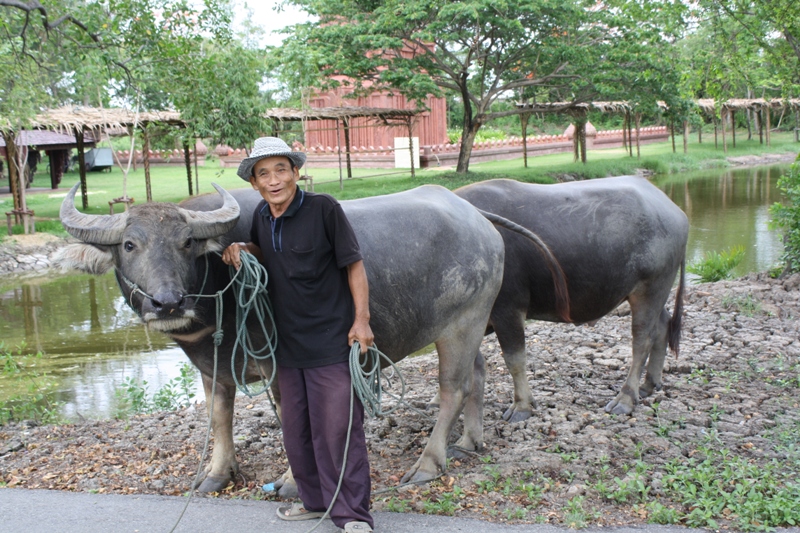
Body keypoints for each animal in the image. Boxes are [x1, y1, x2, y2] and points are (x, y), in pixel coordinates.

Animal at [56, 182, 564, 494]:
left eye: (186, 243)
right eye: (129, 245)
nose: (167, 302)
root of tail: (474, 215)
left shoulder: (279, 366)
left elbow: (292, 423)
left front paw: (292, 482)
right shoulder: (213, 368)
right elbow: (219, 418)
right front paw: (217, 475)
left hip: (463, 323)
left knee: (453, 387)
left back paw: (428, 463)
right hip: (467, 325)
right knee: (477, 372)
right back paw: (469, 442)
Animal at [456, 177, 688, 418]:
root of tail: (675, 211)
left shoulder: (508, 309)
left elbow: (515, 360)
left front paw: (522, 407)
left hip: (651, 288)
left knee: (642, 341)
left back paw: (625, 399)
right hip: (657, 292)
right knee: (663, 324)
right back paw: (649, 385)